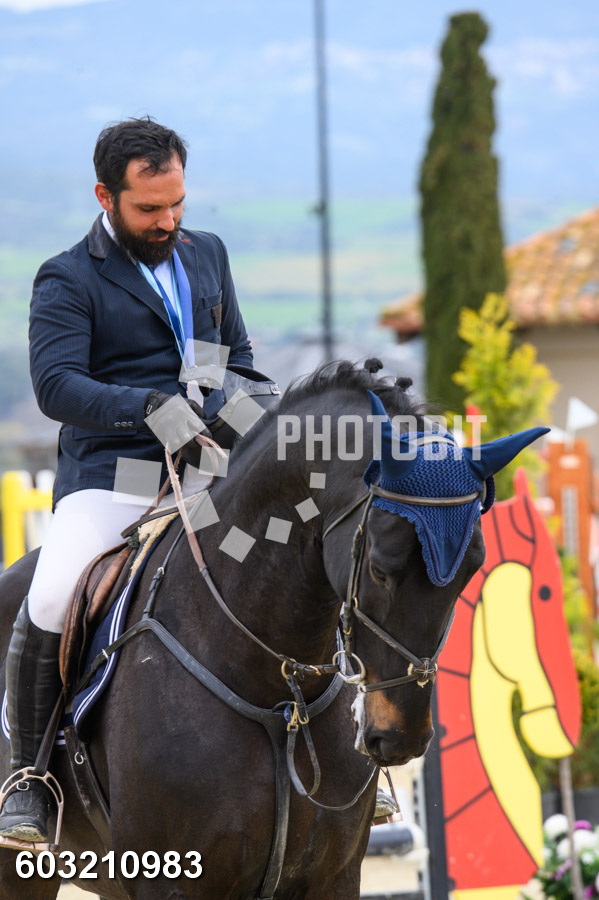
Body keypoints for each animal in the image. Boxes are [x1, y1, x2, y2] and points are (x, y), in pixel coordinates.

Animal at [0, 361, 544, 899]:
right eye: (380, 569)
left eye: (473, 569)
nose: (401, 736)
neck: (278, 692)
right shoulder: (171, 882)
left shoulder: (333, 877)